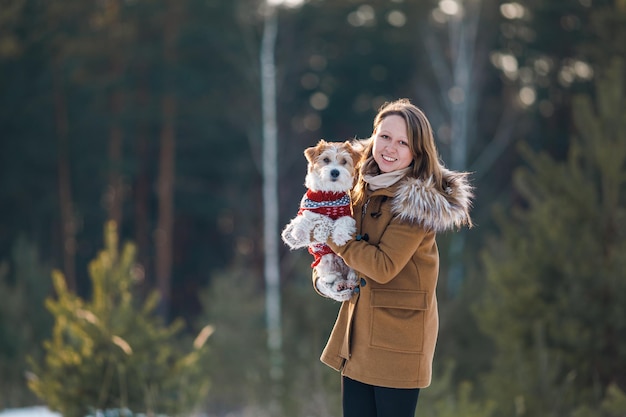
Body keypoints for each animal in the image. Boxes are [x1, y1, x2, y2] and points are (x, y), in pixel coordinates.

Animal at [280, 139, 358, 300]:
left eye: (344, 161)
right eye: (326, 159)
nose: (335, 171)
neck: (328, 195)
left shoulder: (347, 215)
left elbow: (342, 222)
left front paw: (339, 236)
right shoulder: (306, 209)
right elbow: (305, 219)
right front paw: (301, 233)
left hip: (349, 264)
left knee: (351, 274)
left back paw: (350, 281)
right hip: (325, 262)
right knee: (334, 277)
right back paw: (339, 284)